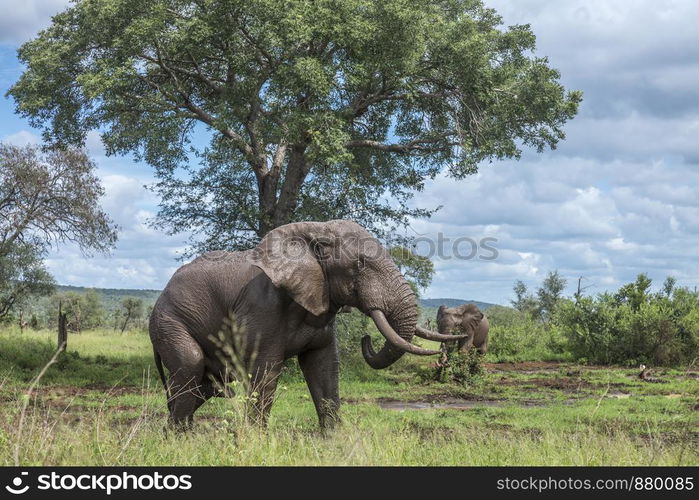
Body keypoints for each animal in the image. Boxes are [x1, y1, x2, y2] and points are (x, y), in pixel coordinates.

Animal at [150, 220, 462, 430]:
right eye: (360, 264)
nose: (366, 338)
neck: (315, 233)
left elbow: (323, 366)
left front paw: (333, 441)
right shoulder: (262, 307)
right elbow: (265, 370)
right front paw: (257, 441)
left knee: (207, 385)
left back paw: (177, 433)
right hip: (170, 320)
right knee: (191, 366)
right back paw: (179, 438)